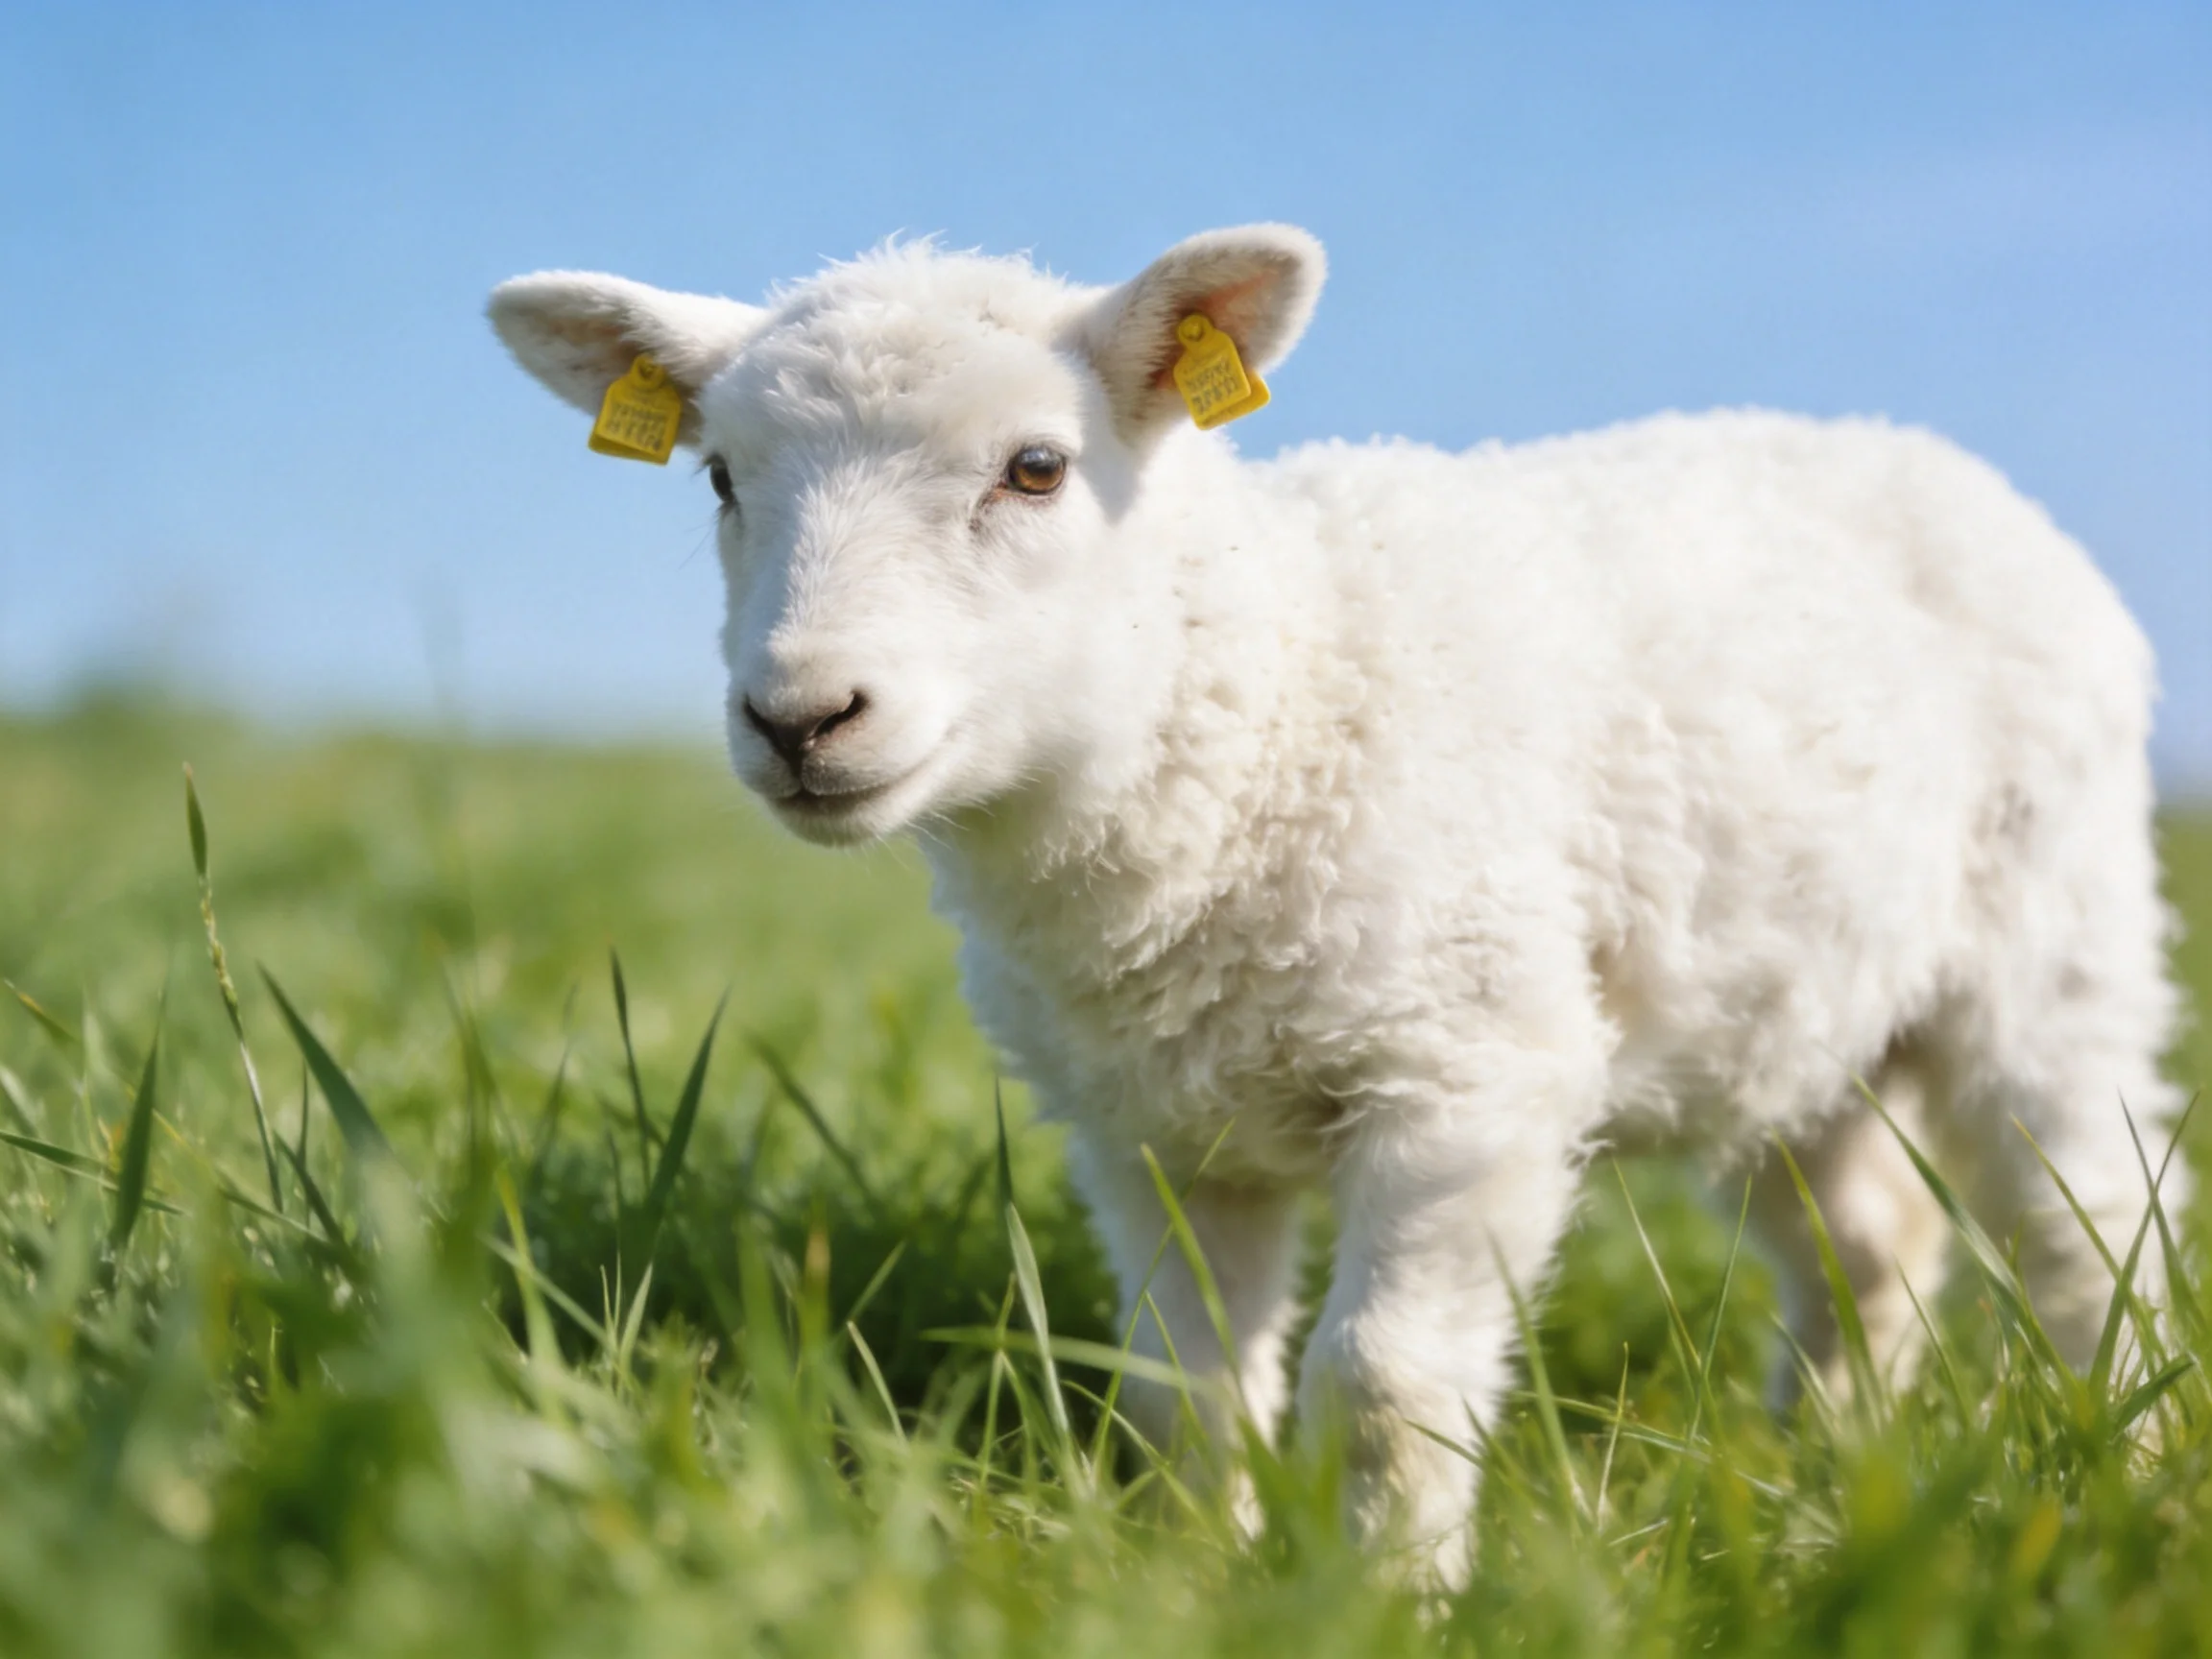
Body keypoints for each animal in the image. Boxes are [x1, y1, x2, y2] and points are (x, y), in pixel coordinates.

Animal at [489, 224, 2185, 1587]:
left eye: (1036, 468)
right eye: (720, 477)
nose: (801, 718)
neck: (1256, 696)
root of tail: (1915, 451)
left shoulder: (1469, 1074)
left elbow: (1377, 1379)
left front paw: (1387, 1596)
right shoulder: (1151, 1131)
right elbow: (1180, 1385)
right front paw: (1192, 1576)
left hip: (2056, 939)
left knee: (2089, 1222)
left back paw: (2127, 1469)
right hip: (1784, 1010)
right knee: (1868, 1242)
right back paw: (1819, 1477)